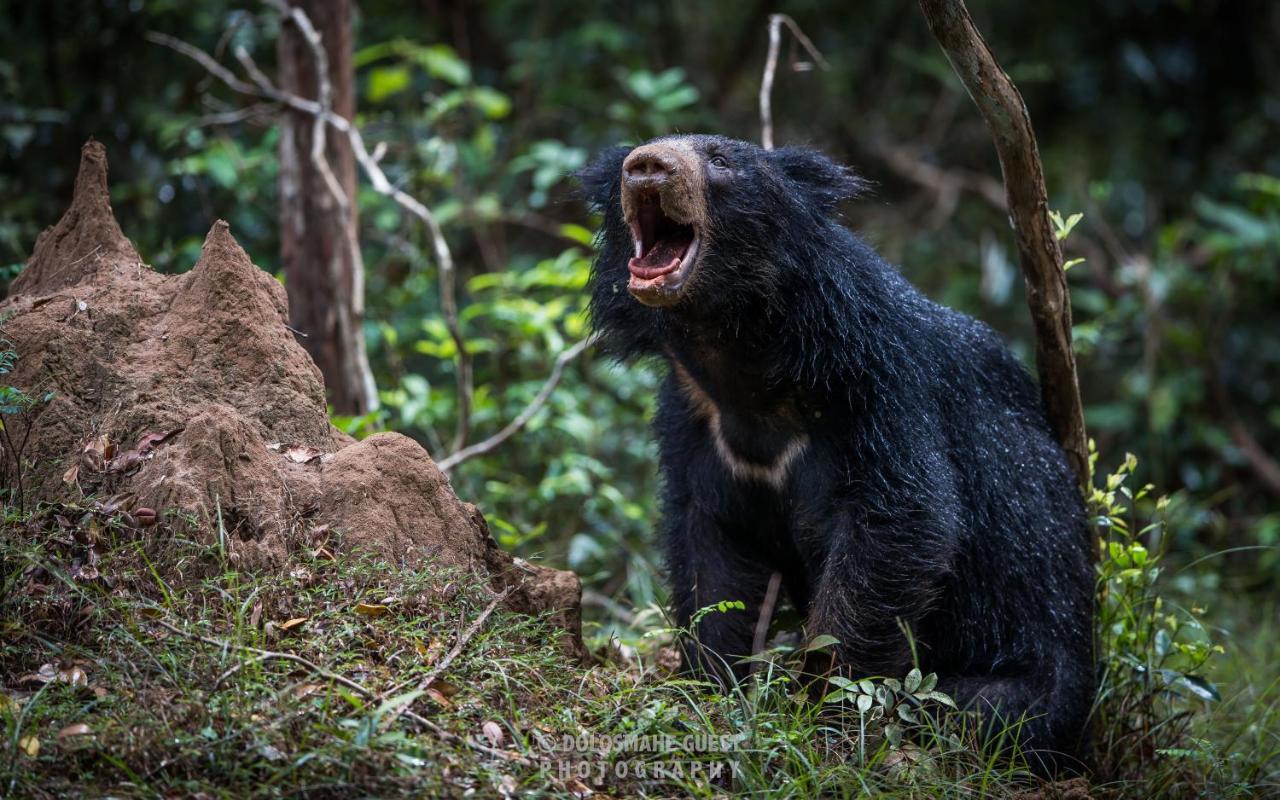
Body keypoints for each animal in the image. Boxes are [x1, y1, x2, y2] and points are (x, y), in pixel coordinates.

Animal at [581, 134, 1090, 773]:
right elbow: (711, 548)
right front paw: (713, 685)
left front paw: (821, 708)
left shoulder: (876, 380)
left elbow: (900, 523)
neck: (743, 360)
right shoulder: (695, 418)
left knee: (982, 713)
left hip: (1030, 677)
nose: (647, 165)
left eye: (721, 160)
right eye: (633, 162)